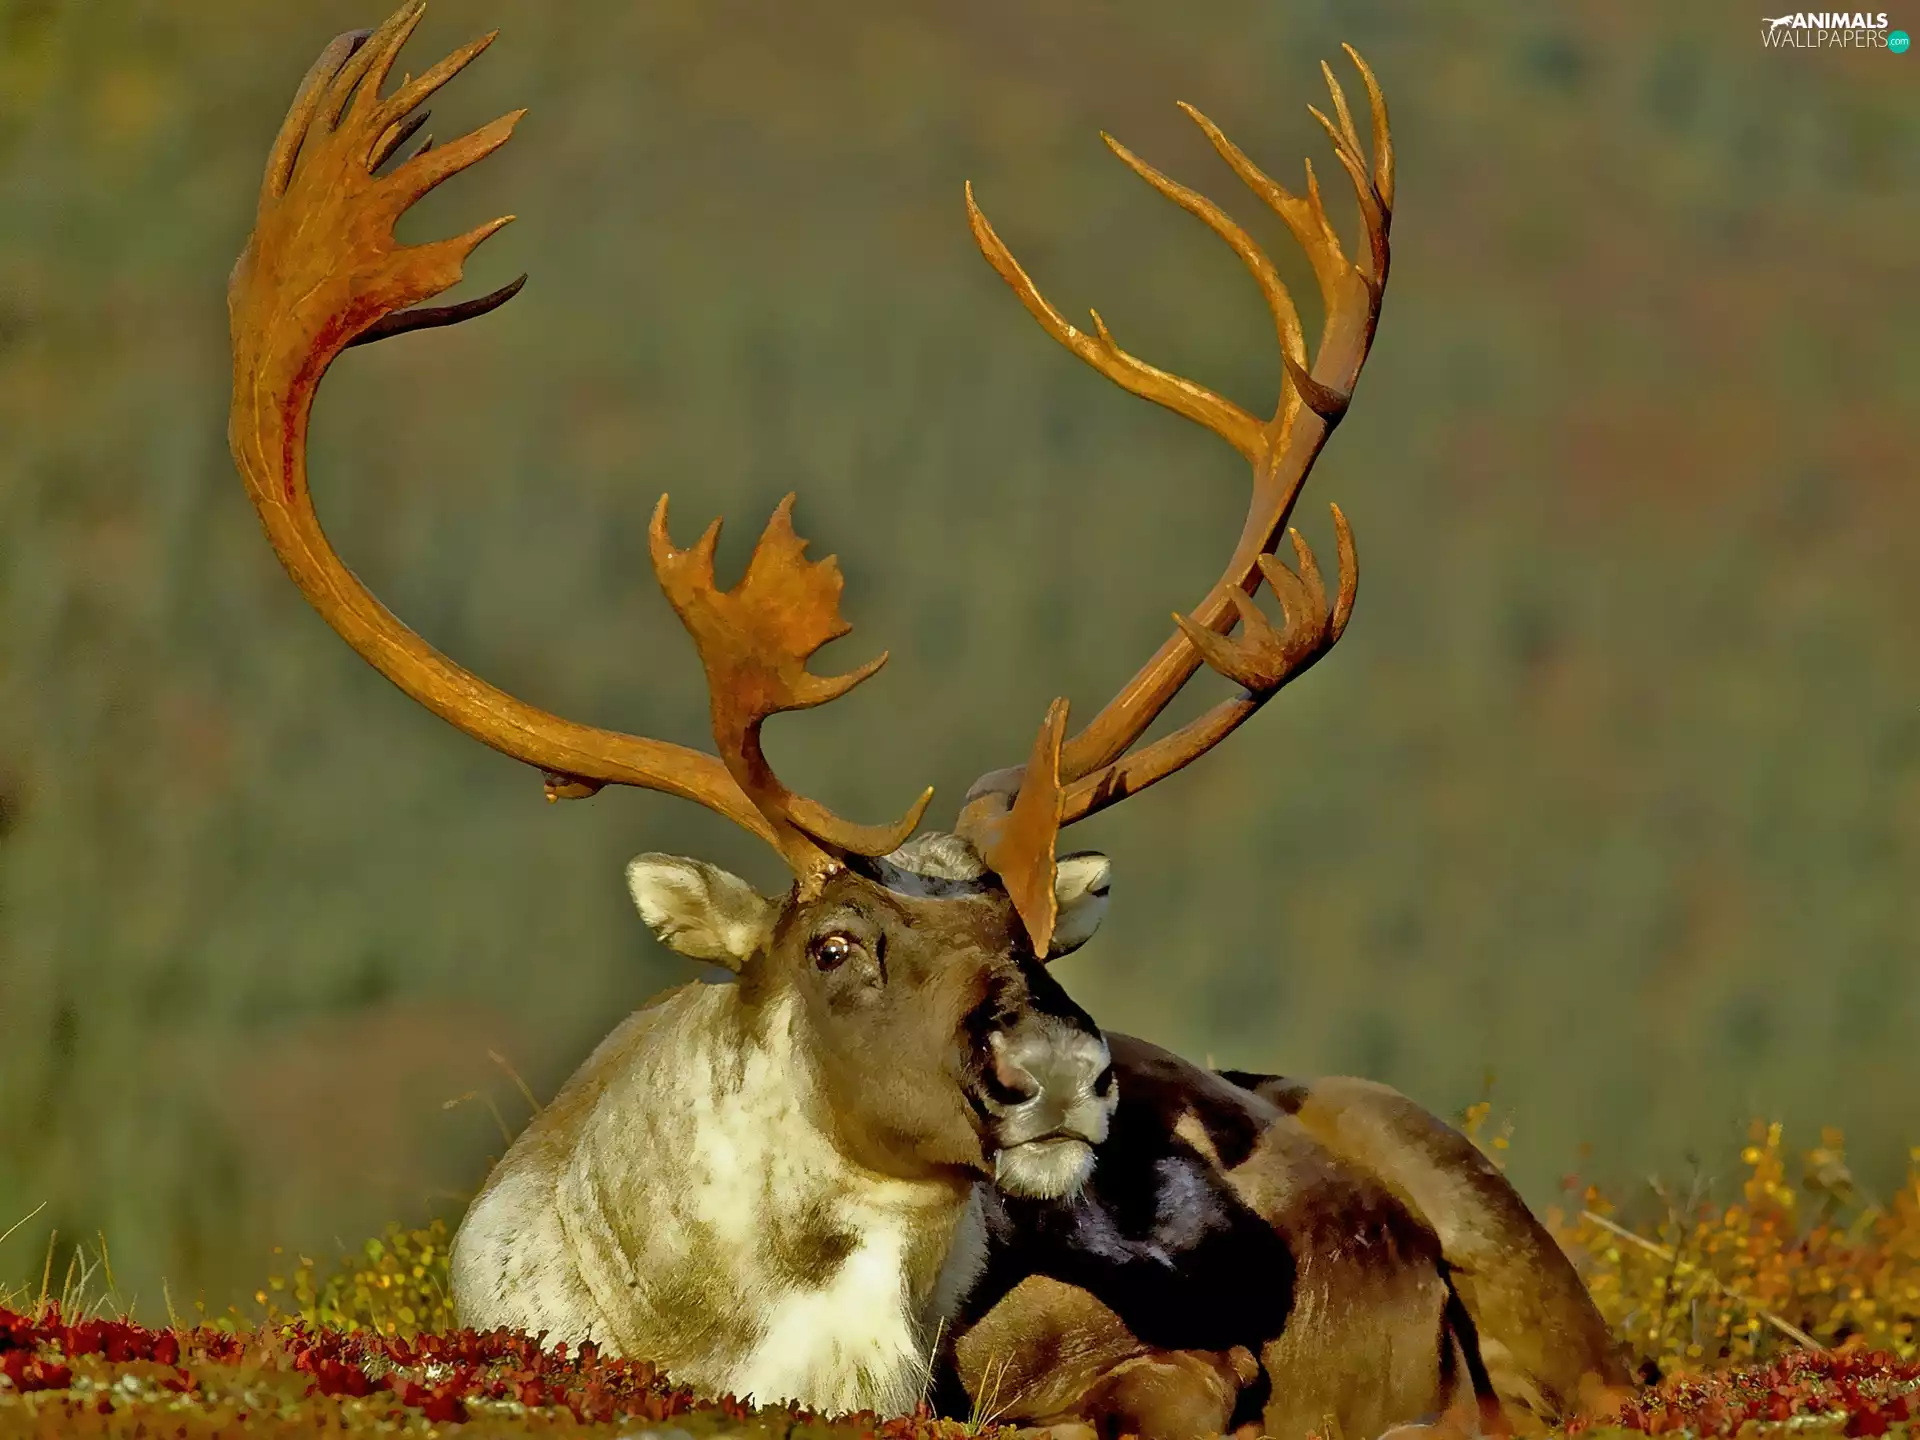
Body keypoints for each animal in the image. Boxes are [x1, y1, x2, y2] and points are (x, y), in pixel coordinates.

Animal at [227, 6, 1628, 1436]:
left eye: (1036, 933)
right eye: (836, 945)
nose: (1060, 1072)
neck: (763, 1341)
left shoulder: (1185, 1361)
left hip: (1483, 1205)